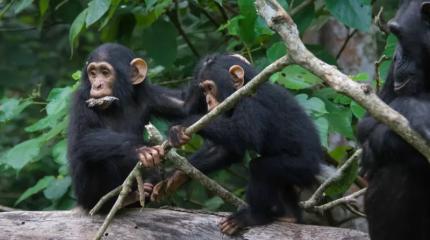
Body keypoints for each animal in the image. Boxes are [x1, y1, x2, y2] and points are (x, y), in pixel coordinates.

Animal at [68, 43, 186, 212]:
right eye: (93, 73)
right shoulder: (82, 99)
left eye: (105, 72)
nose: (97, 85)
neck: (118, 103)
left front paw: (176, 131)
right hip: (86, 197)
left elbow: (186, 104)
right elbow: (81, 138)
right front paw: (140, 149)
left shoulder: (151, 95)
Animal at [166, 54, 324, 234]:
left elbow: (241, 135)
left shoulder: (252, 104)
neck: (242, 88)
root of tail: (318, 167)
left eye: (210, 88)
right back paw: (289, 216)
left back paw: (254, 217)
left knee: (260, 168)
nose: (208, 101)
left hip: (301, 167)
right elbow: (226, 150)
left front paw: (185, 123)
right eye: (203, 90)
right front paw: (176, 175)